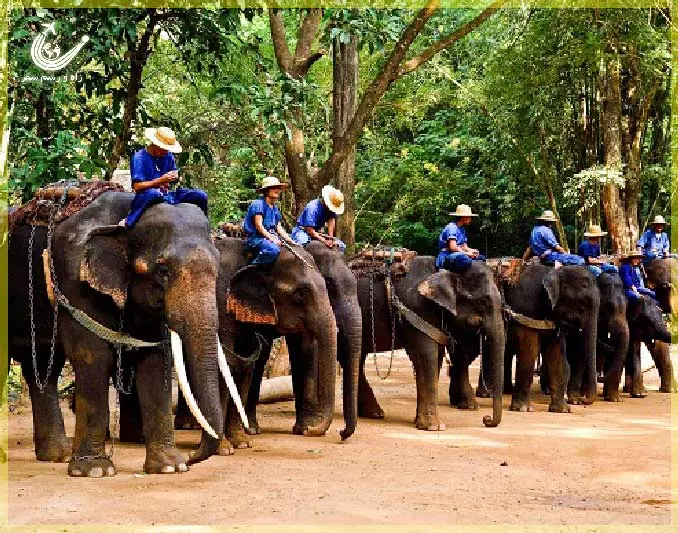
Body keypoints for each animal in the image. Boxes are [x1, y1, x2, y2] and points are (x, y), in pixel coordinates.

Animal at [8, 192, 227, 477]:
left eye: (217, 267)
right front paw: (95, 471)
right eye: (163, 270)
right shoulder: (74, 281)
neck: (128, 212)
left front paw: (170, 467)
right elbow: (93, 356)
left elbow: (156, 357)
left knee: (44, 367)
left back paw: (57, 455)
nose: (191, 456)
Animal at [212, 237, 339, 450]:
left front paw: (243, 443)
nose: (312, 431)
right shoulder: (221, 299)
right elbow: (228, 361)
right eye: (300, 294)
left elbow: (248, 362)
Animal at [244, 240, 360, 441]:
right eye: (329, 285)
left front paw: (305, 428)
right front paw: (252, 430)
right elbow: (260, 353)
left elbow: (305, 350)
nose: (341, 432)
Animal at [355, 257, 504, 431]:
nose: (486, 419)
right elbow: (427, 355)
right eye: (483, 302)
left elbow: (437, 356)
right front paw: (434, 427)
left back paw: (374, 413)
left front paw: (420, 423)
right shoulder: (418, 308)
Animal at [503, 264, 600, 413]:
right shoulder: (525, 310)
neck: (552, 271)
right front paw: (523, 408)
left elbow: (556, 353)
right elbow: (530, 349)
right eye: (582, 306)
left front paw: (563, 410)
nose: (583, 400)